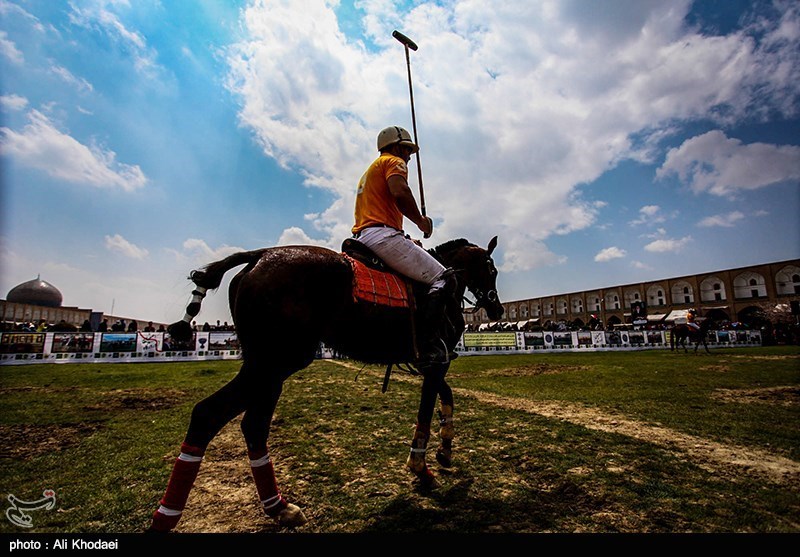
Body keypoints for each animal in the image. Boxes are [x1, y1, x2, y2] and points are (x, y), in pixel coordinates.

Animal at [149, 236, 500, 528]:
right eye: (492, 269)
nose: (496, 309)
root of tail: (259, 255)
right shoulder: (435, 358)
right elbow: (428, 407)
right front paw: (421, 467)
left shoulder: (431, 362)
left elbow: (446, 395)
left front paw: (445, 449)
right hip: (277, 360)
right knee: (208, 414)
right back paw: (166, 518)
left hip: (266, 365)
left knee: (252, 425)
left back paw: (279, 507)